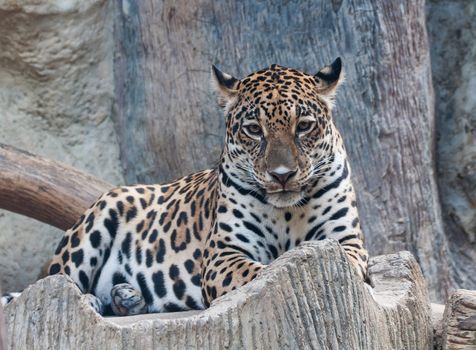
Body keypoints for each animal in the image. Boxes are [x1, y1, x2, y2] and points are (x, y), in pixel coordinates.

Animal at [0, 58, 372, 316]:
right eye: (254, 130)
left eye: (304, 126)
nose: (282, 175)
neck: (287, 212)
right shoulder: (224, 253)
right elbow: (259, 273)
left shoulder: (346, 240)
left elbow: (344, 266)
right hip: (98, 218)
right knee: (51, 286)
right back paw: (90, 300)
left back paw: (126, 297)